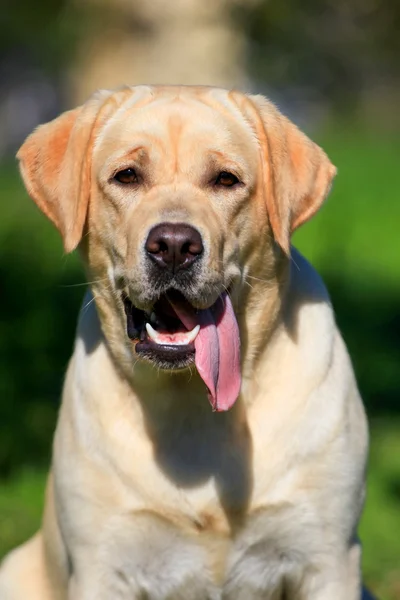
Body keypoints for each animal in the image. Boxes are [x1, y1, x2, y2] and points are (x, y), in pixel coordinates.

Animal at [0, 85, 372, 600]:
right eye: (127, 175)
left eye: (226, 179)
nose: (174, 245)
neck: (193, 402)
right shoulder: (101, 564)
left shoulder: (328, 559)